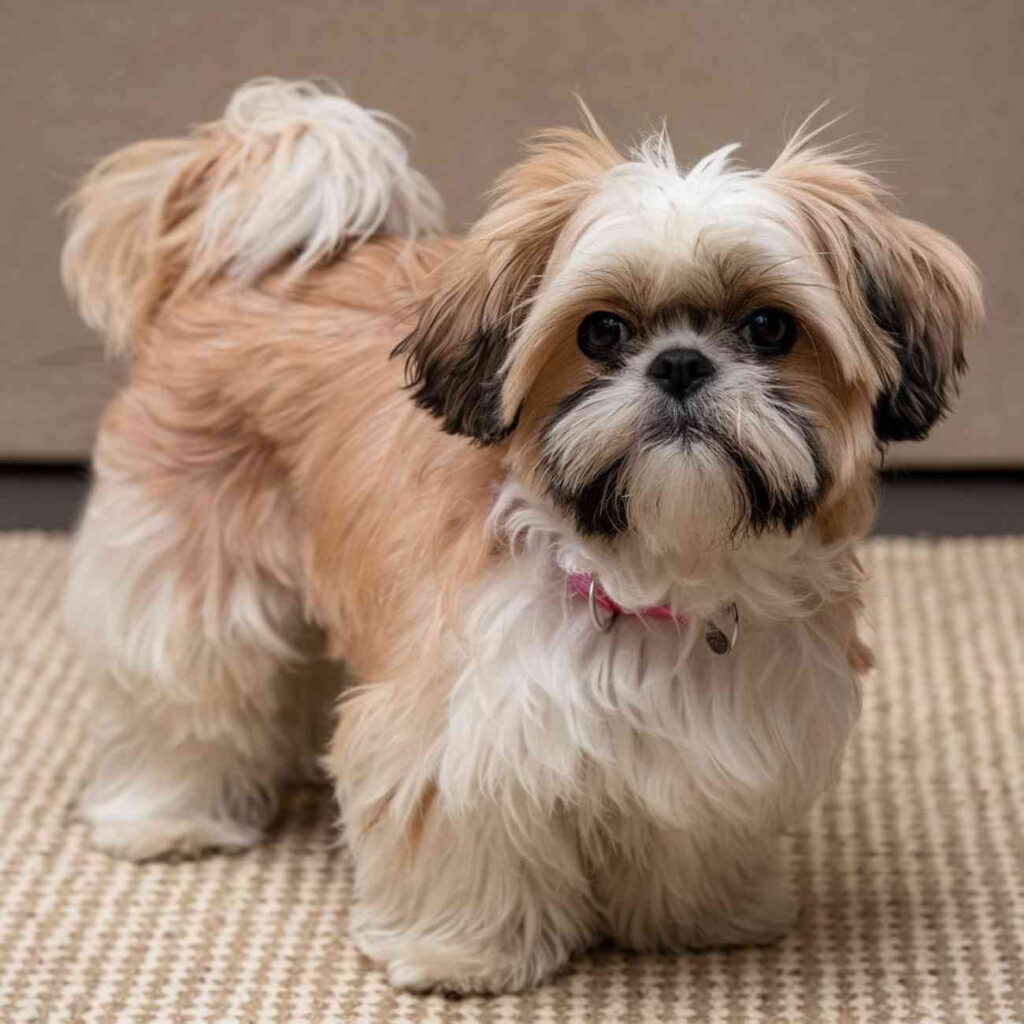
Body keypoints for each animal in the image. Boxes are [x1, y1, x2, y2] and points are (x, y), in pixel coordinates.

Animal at [61, 79, 983, 991]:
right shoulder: (455, 729)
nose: (680, 364)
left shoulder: (725, 740)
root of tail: (239, 268)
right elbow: (461, 835)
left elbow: (692, 835)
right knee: (182, 690)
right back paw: (166, 816)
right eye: (601, 330)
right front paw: (460, 952)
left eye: (769, 327)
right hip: (183, 570)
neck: (656, 579)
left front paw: (701, 916)